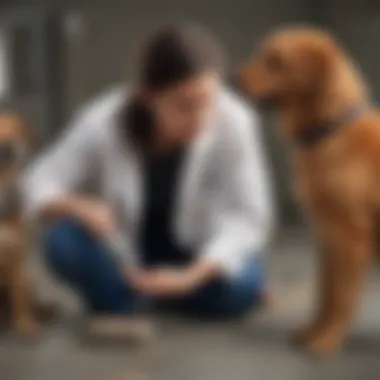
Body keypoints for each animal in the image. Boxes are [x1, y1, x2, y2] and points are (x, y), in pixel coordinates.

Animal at [239, 26, 378, 356]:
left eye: (275, 61)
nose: (231, 77)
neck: (330, 131)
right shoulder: (327, 235)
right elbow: (325, 294)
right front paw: (313, 331)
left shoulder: (352, 239)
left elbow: (341, 298)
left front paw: (327, 340)